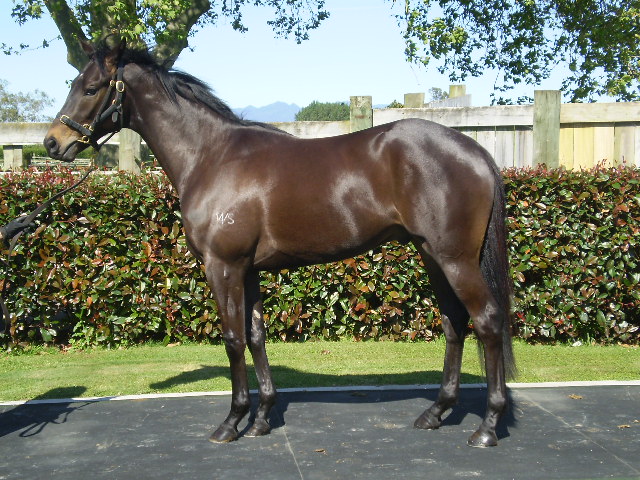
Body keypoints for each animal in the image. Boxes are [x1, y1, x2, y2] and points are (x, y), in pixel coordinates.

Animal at [44, 40, 516, 448]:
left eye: (90, 88)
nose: (53, 142)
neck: (211, 156)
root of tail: (475, 151)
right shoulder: (248, 270)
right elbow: (256, 337)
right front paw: (262, 419)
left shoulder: (223, 267)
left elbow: (233, 339)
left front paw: (232, 422)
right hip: (433, 256)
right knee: (454, 323)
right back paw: (436, 412)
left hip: (455, 260)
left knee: (488, 321)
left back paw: (487, 427)